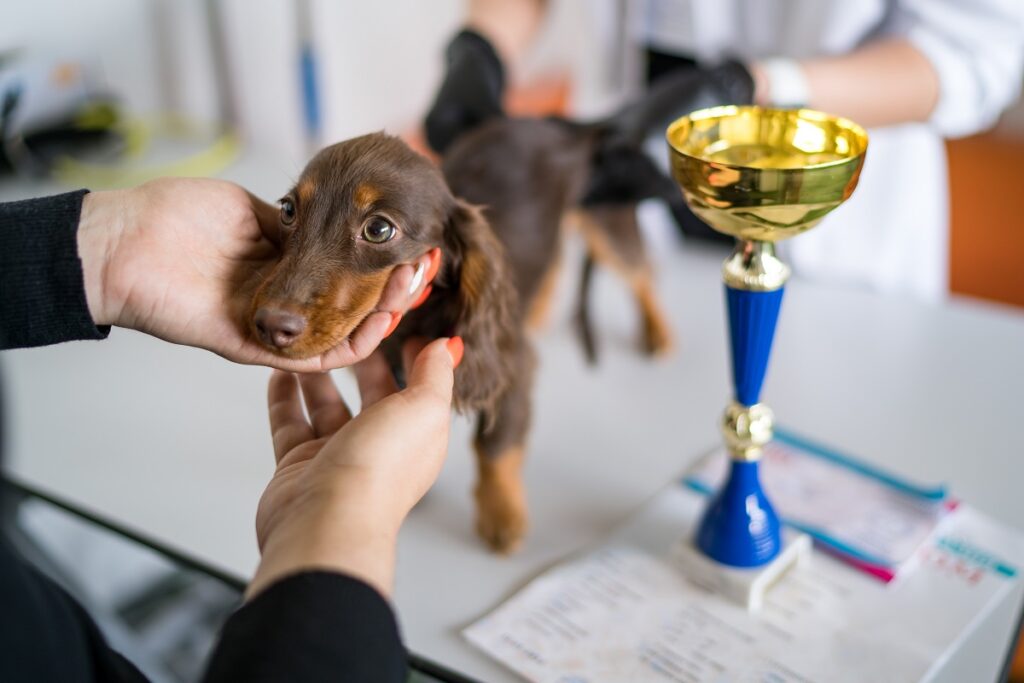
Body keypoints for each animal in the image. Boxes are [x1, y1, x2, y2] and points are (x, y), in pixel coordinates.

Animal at [251, 122, 675, 557]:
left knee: (641, 272)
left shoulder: (511, 367)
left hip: (606, 217)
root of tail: (559, 125)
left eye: (379, 229)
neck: (414, 320)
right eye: (288, 210)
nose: (269, 325)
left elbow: (494, 447)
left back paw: (658, 332)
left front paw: (501, 514)